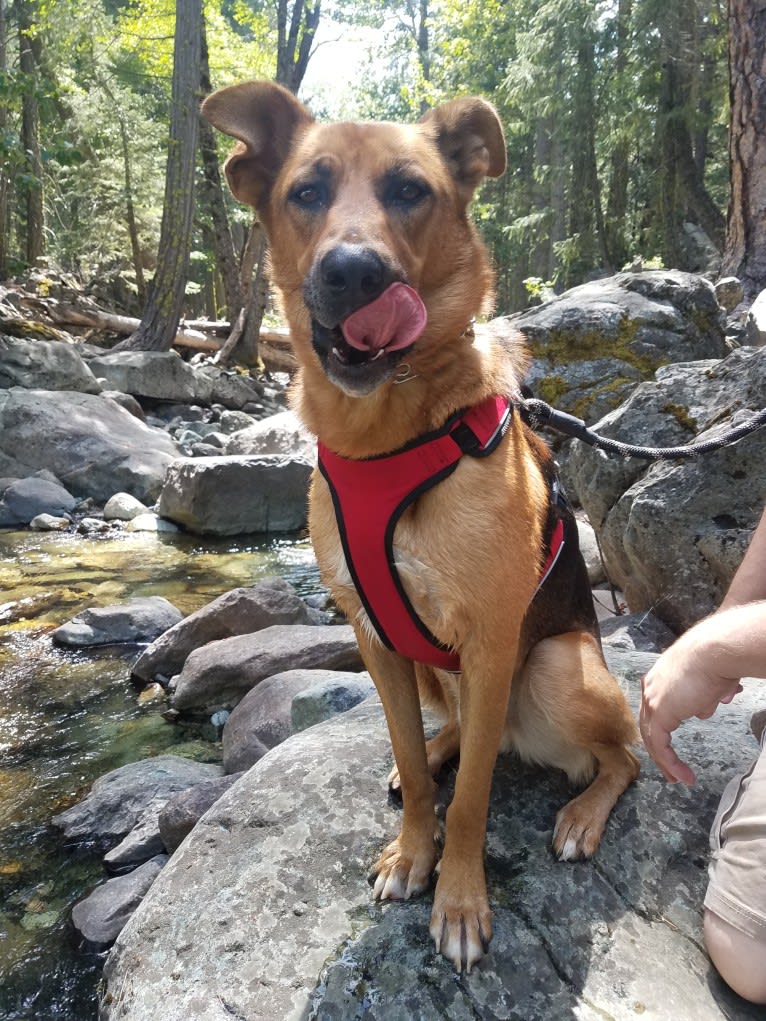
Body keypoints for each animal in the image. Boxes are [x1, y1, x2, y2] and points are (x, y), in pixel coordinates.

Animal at [204, 81, 641, 971]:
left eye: (411, 190)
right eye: (306, 191)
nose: (353, 272)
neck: (387, 435)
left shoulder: (491, 641)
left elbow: (471, 801)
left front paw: (461, 898)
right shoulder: (375, 637)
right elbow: (407, 743)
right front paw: (414, 848)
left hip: (556, 668)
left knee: (621, 755)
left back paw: (582, 814)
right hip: (437, 669)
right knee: (465, 733)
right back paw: (440, 755)